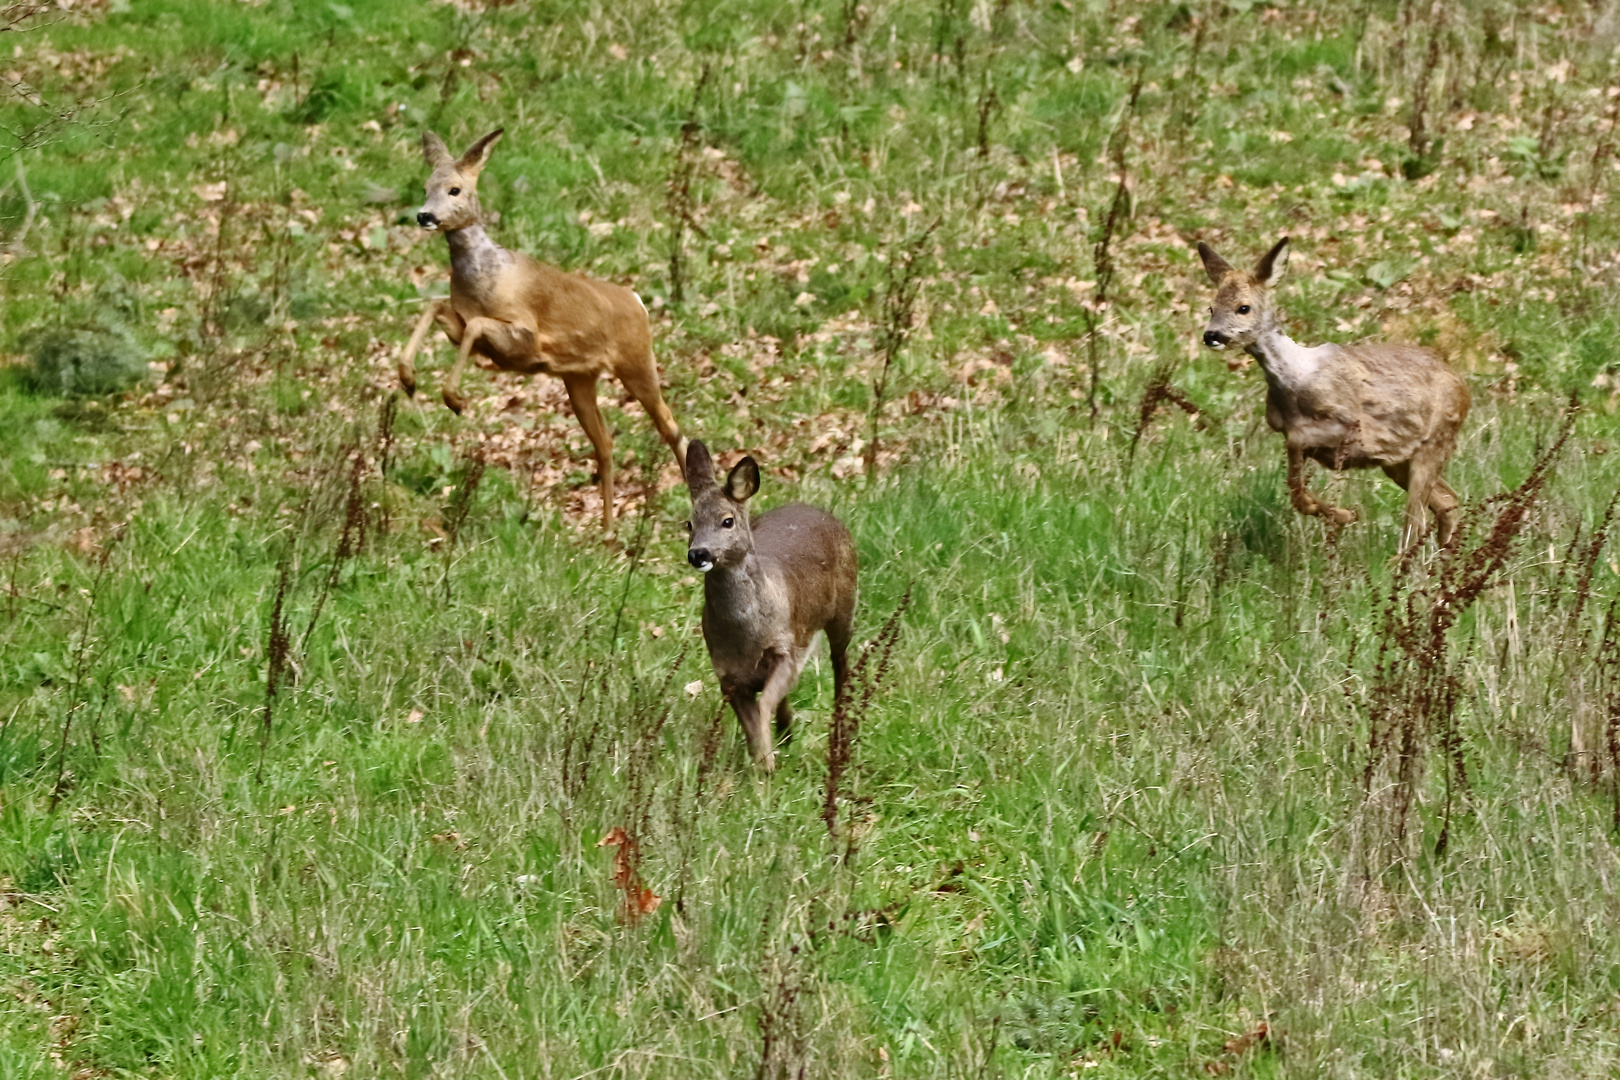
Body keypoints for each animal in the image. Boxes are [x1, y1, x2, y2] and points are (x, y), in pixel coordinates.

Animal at [405, 128, 690, 531]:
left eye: (455, 189)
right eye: (426, 186)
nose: (424, 215)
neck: (484, 279)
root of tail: (638, 301)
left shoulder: (525, 335)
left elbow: (477, 323)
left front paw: (454, 399)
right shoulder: (463, 328)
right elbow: (435, 307)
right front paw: (408, 379)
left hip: (636, 360)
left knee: (670, 426)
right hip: (580, 378)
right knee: (605, 442)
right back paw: (607, 529)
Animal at [1198, 241, 1477, 553]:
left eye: (1243, 308)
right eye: (1211, 307)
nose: (1211, 335)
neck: (1296, 378)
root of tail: (1463, 389)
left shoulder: (1352, 426)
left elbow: (1297, 446)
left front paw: (1344, 514)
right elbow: (1294, 482)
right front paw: (1340, 513)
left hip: (1435, 441)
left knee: (1416, 521)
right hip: (1398, 460)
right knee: (1448, 501)